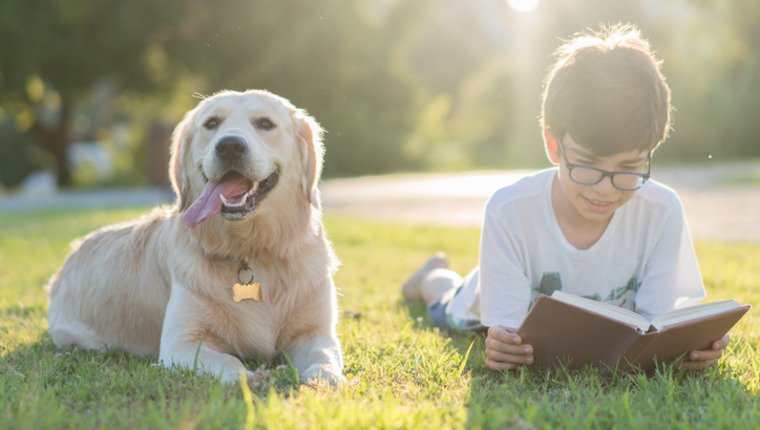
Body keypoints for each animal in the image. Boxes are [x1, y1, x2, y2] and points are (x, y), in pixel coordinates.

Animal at [46, 89, 342, 384]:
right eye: (211, 123)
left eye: (265, 123)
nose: (230, 146)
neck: (249, 251)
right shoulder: (181, 344)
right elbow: (229, 361)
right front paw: (251, 377)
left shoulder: (317, 333)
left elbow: (324, 356)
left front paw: (325, 379)